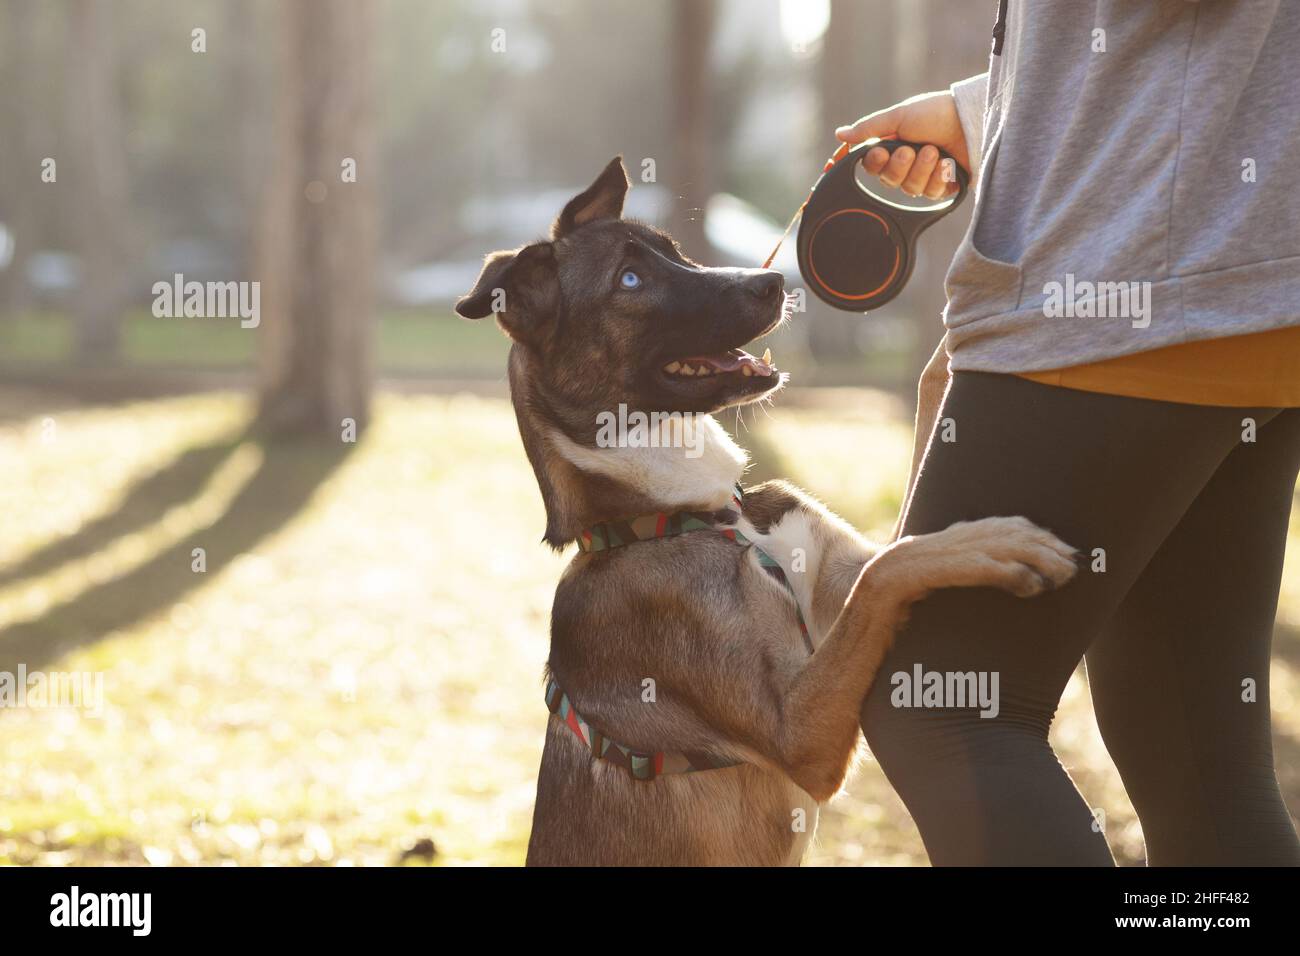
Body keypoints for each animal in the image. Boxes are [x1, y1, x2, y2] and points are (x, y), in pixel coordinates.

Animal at [457, 158, 1076, 868]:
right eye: (630, 280)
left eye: (677, 251)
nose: (775, 281)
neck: (702, 515)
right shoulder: (798, 736)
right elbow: (886, 574)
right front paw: (995, 543)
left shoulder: (837, 578)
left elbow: (890, 555)